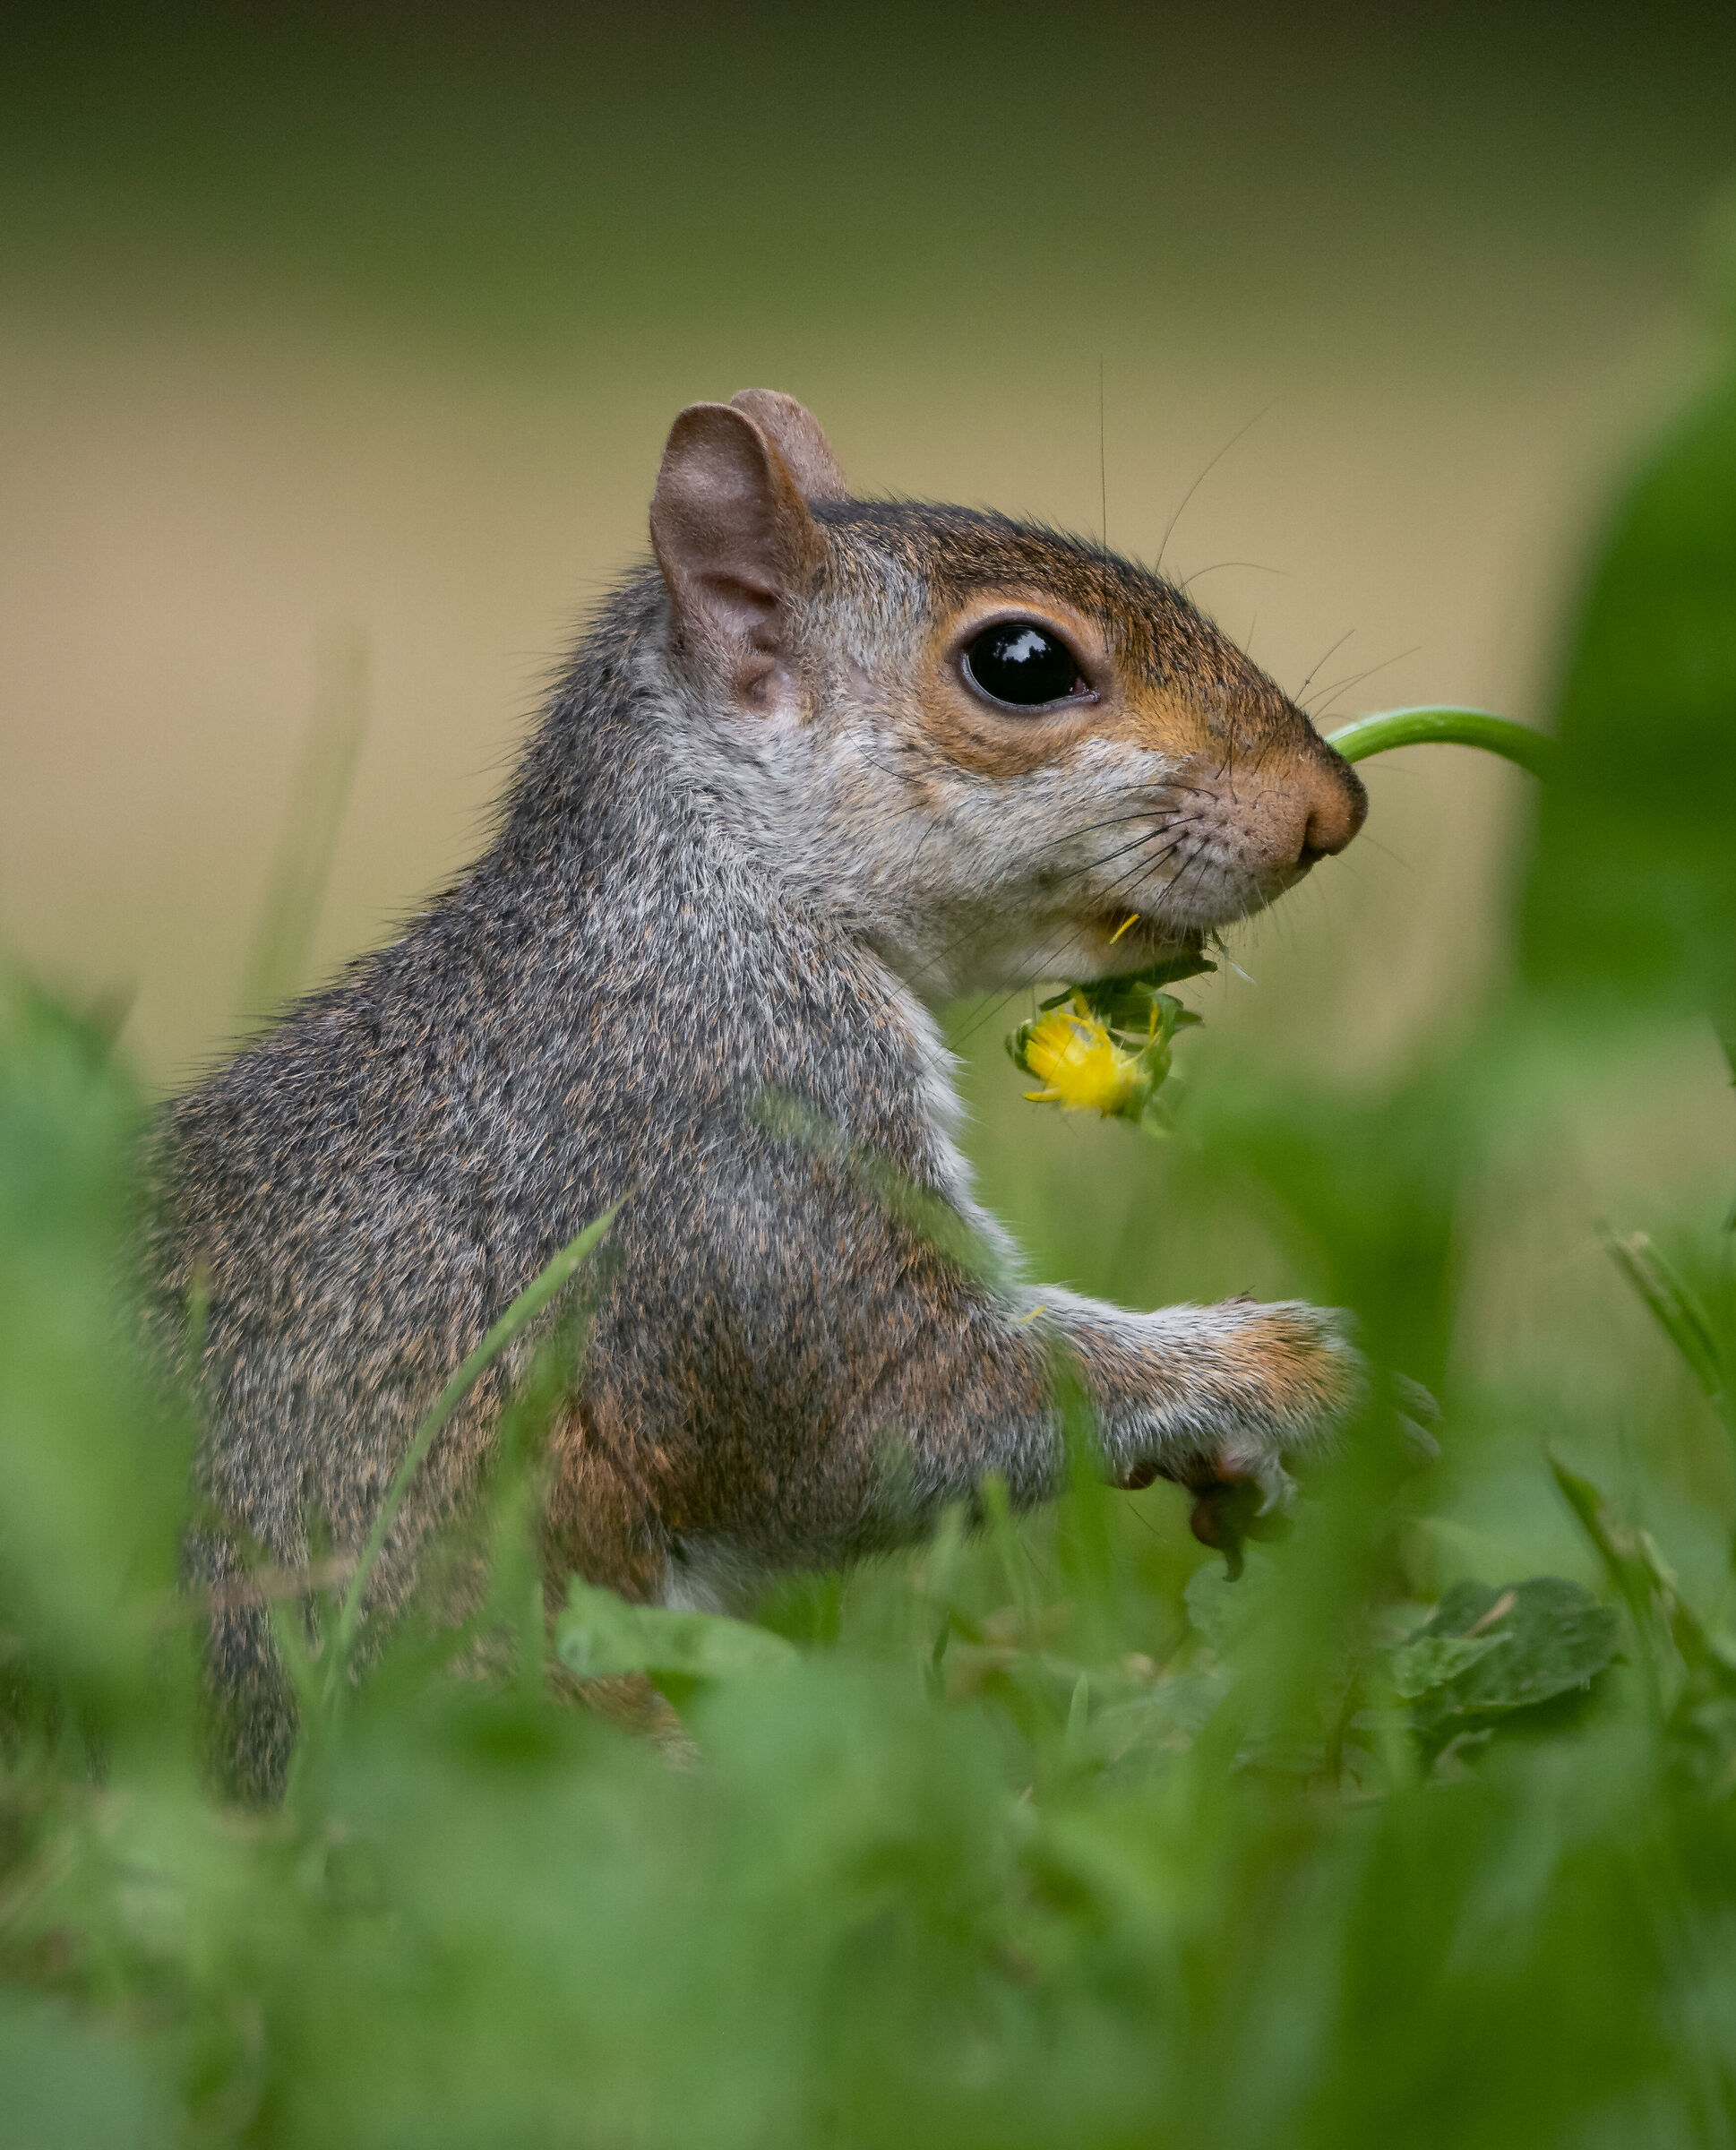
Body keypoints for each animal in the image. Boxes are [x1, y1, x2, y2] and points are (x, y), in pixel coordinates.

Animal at [145, 390, 1368, 1798]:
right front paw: (1287, 1369)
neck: (711, 886)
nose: (1334, 808)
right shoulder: (732, 1146)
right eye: (1019, 663)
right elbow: (897, 1412)